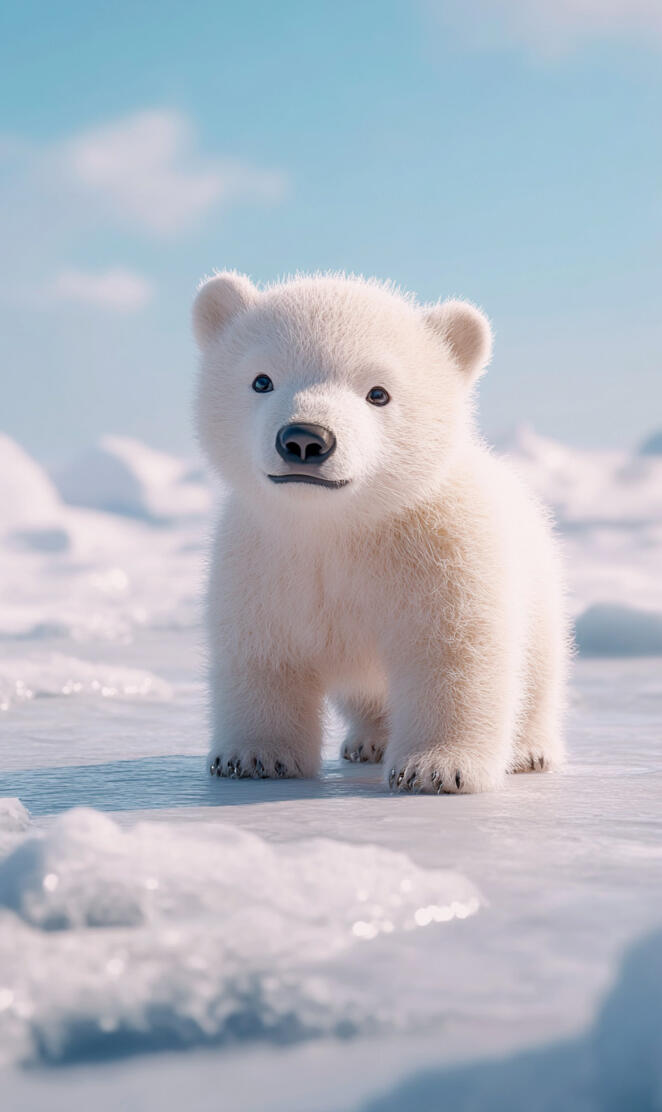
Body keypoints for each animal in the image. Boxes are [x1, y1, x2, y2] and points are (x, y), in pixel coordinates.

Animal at [193, 271, 568, 794]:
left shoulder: (446, 552)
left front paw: (437, 768)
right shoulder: (262, 557)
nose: (305, 439)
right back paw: (368, 740)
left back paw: (530, 750)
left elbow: (453, 654)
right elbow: (263, 654)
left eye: (378, 392)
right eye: (261, 380)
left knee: (538, 672)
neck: (338, 525)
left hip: (539, 587)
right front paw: (253, 756)